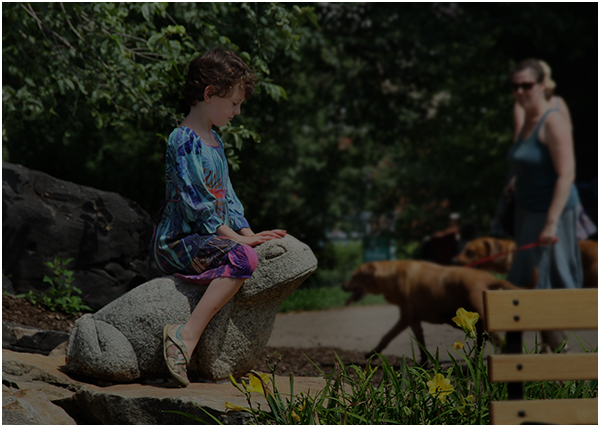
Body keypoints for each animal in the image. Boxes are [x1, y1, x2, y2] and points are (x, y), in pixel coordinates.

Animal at [342, 260, 520, 364]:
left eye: (354, 275)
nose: (342, 286)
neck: (392, 275)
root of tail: (491, 279)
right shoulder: (413, 320)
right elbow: (421, 343)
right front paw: (423, 364)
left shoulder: (406, 317)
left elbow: (387, 336)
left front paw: (372, 353)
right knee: (484, 340)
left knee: (499, 342)